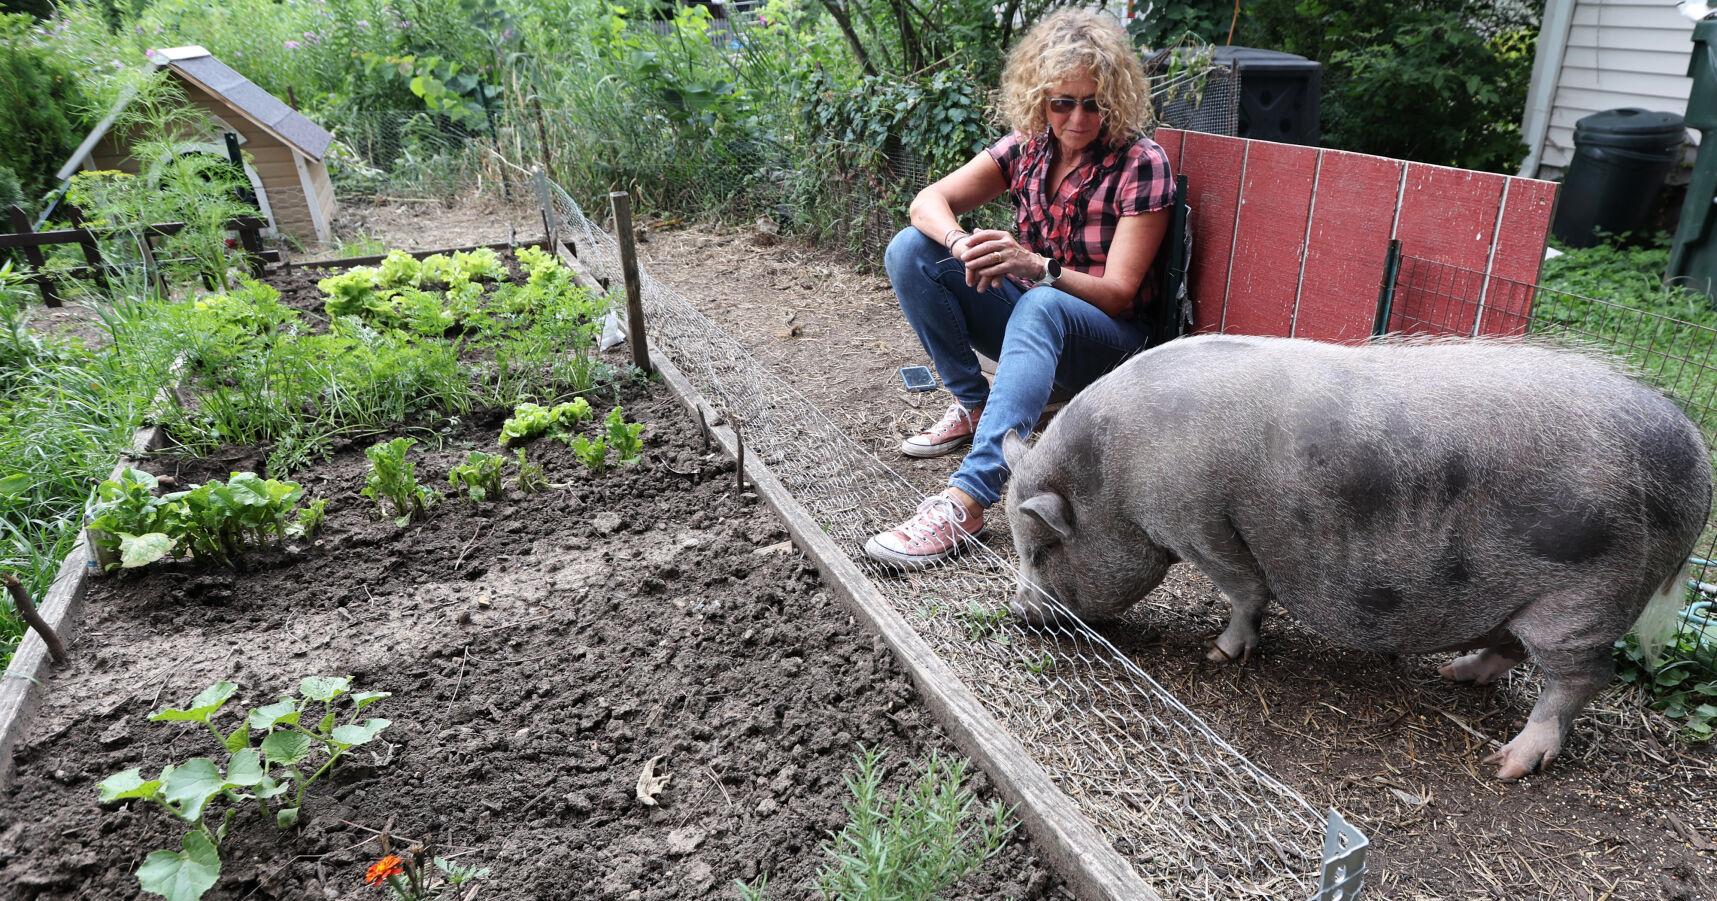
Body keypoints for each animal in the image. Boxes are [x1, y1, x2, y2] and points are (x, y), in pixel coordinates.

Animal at [1003, 335, 1711, 781]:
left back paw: (1505, 766)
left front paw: (1218, 656)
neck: (1112, 477)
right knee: (1511, 646)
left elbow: (1244, 590)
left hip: (1586, 599)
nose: (1017, 614)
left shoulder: (1198, 525)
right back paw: (1458, 673)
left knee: (1583, 678)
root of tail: (1699, 464)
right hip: (1530, 597)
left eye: (1040, 547)